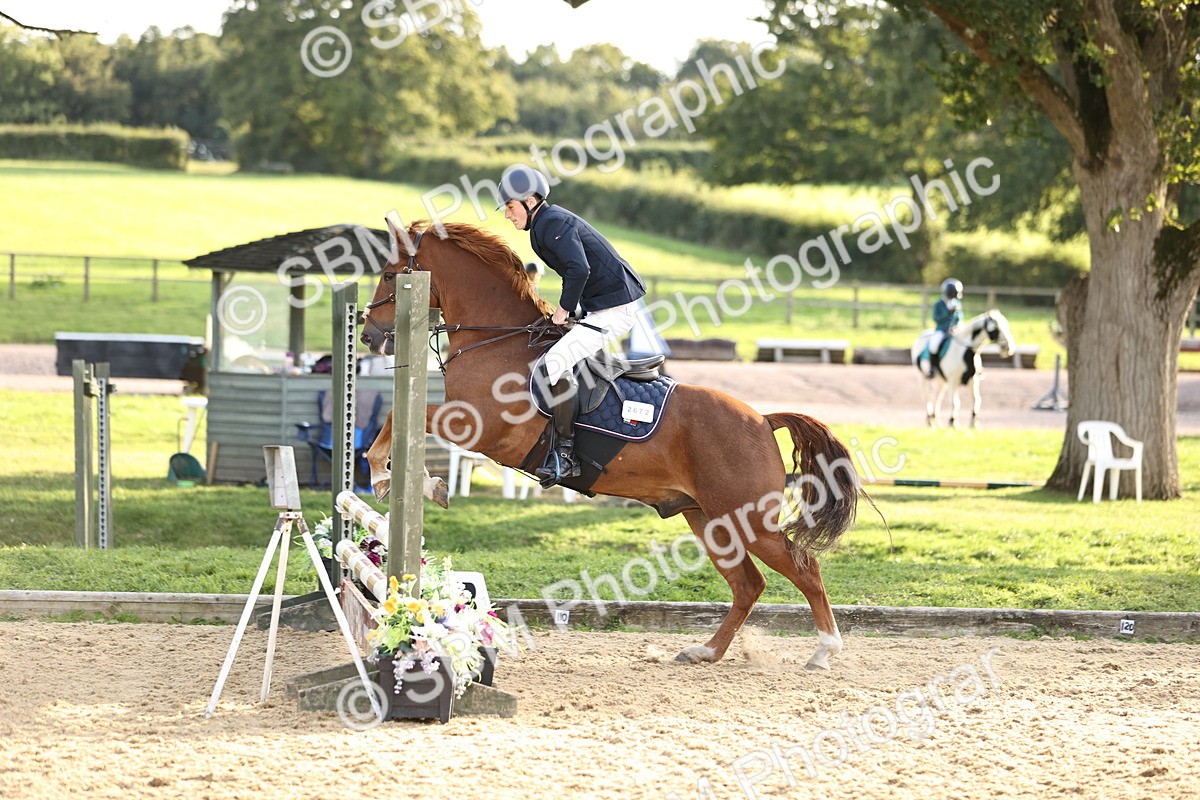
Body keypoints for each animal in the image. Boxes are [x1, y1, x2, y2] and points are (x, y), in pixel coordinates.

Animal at [359, 220, 869, 670]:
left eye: (388, 273)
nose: (367, 335)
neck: (496, 341)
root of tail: (762, 420)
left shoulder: (478, 426)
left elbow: (404, 418)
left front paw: (390, 476)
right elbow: (402, 420)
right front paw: (412, 480)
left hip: (749, 520)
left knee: (805, 569)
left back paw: (824, 651)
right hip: (708, 518)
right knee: (748, 585)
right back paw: (705, 652)